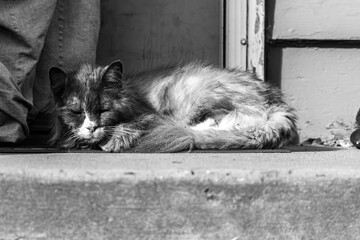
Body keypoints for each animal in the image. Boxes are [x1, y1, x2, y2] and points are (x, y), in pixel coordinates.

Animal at [47, 61, 298, 153]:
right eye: (76, 112)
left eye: (103, 110)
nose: (91, 127)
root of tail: (279, 106)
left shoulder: (147, 115)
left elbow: (129, 126)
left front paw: (113, 141)